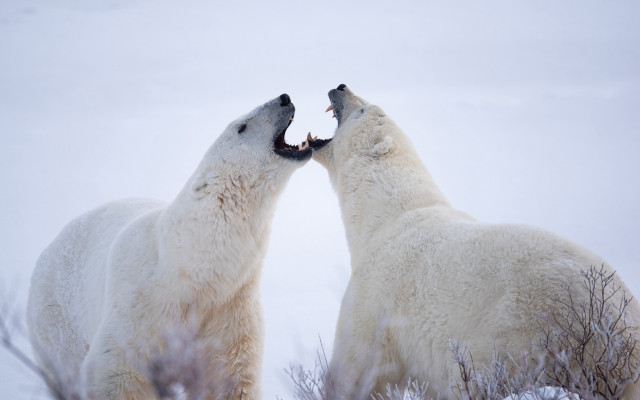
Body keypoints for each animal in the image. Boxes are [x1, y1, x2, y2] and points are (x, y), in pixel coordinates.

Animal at [26, 93, 327, 400]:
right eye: (241, 127)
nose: (284, 98)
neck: (191, 271)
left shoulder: (230, 312)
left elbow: (229, 379)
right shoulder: (138, 315)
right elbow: (120, 375)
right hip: (58, 320)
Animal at [311, 84, 640, 399]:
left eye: (363, 109)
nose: (341, 86)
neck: (384, 215)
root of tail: (623, 333)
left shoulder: (376, 298)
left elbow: (357, 369)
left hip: (524, 327)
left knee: (476, 374)